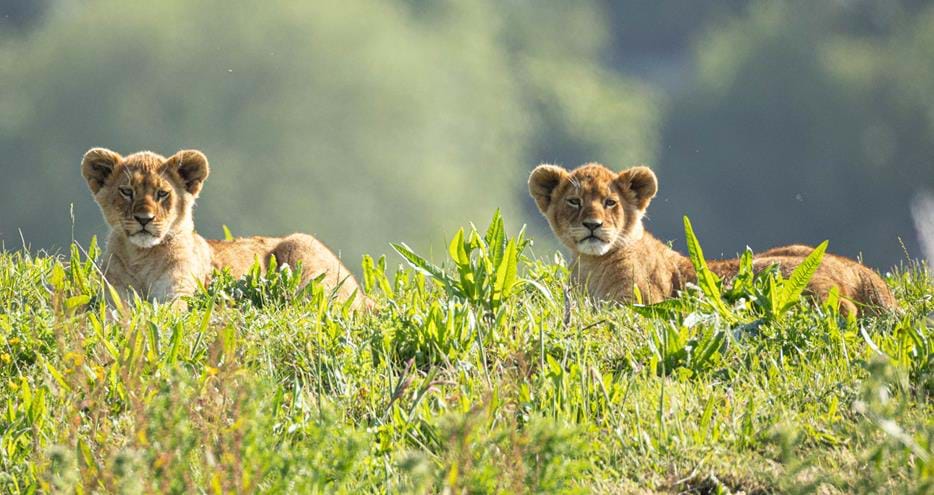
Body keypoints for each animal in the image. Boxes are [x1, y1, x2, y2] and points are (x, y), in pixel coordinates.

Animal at [81, 147, 369, 310]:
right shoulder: (114, 298)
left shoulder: (178, 293)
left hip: (301, 245)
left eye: (162, 194)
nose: (144, 218)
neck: (141, 256)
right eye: (126, 191)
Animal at [528, 162, 896, 317]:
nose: (592, 225)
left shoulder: (638, 302)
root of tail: (856, 271)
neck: (592, 264)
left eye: (609, 202)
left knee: (845, 310)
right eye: (574, 202)